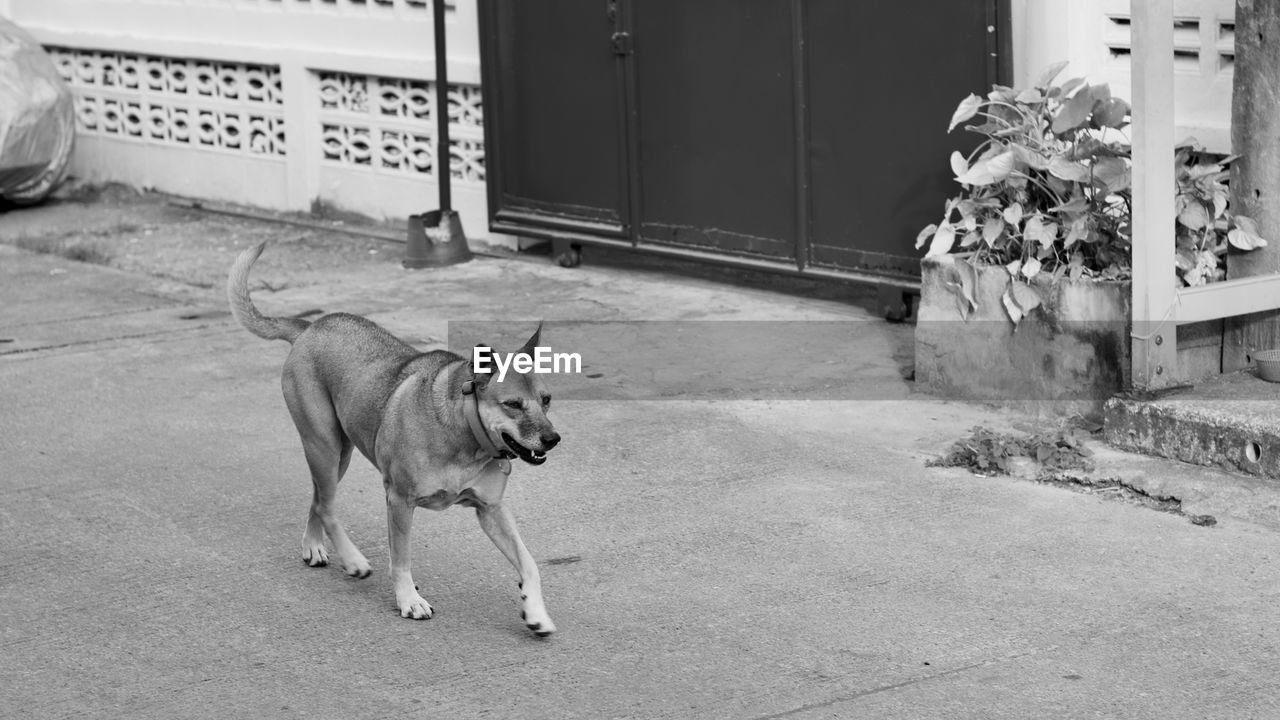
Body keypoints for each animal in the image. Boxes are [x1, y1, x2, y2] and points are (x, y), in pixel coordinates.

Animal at [226, 240, 565, 632]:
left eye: (546, 399)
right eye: (512, 404)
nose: (552, 439)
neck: (464, 434)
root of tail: (311, 326)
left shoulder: (492, 510)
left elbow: (530, 563)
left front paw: (535, 611)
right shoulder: (400, 501)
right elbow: (401, 559)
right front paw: (409, 600)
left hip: (337, 454)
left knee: (318, 498)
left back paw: (313, 545)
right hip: (324, 445)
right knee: (326, 505)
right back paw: (353, 559)